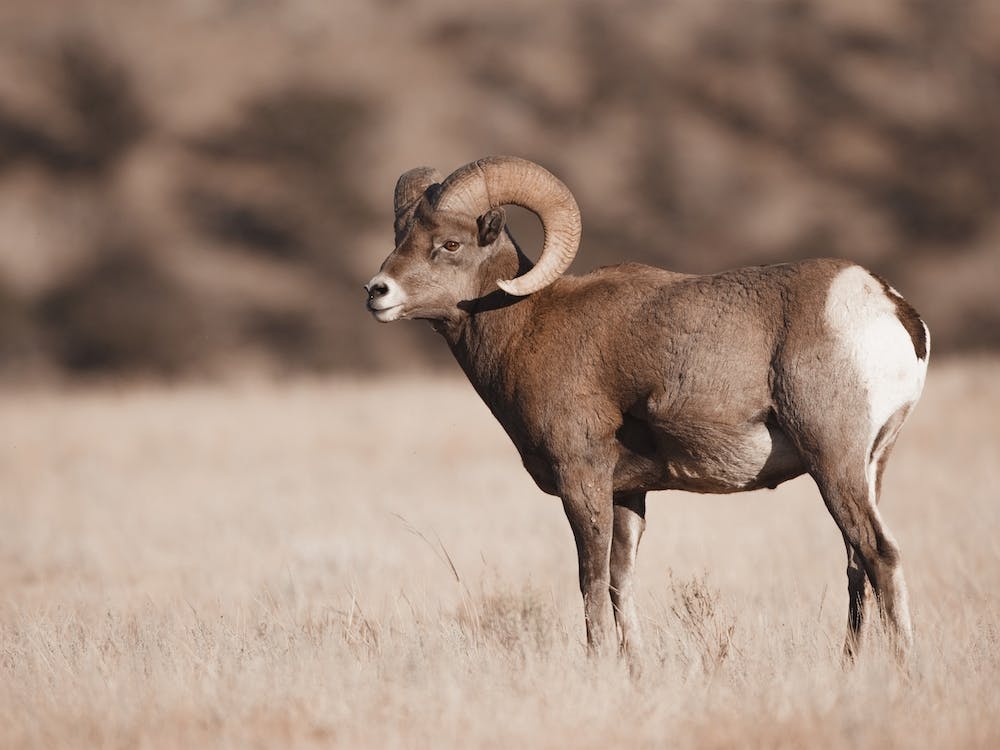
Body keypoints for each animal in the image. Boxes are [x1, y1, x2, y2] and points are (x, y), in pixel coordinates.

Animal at [364, 156, 929, 664]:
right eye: (400, 239)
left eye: (449, 244)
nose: (376, 292)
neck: (526, 326)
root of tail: (887, 304)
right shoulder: (628, 494)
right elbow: (621, 581)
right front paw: (634, 668)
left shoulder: (582, 479)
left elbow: (591, 580)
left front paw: (598, 666)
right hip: (870, 467)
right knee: (856, 562)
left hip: (833, 462)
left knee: (878, 553)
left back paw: (903, 668)